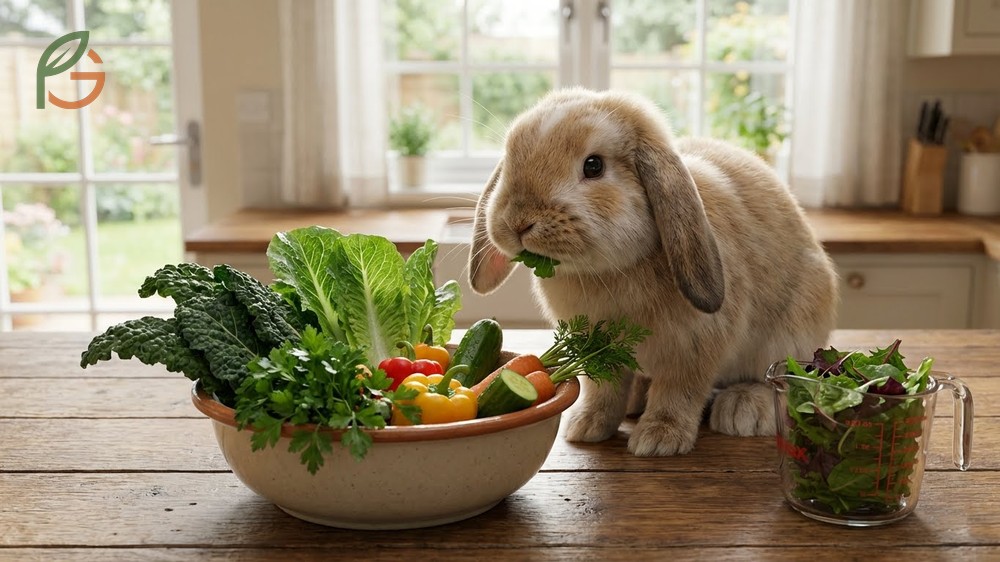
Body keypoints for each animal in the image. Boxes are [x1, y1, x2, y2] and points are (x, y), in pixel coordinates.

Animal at [468, 88, 838, 456]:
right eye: (510, 158)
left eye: (593, 165)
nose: (517, 221)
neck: (609, 271)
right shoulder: (598, 352)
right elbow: (604, 389)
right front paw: (587, 426)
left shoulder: (692, 349)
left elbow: (678, 393)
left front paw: (659, 439)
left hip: (789, 335)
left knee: (777, 379)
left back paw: (742, 410)